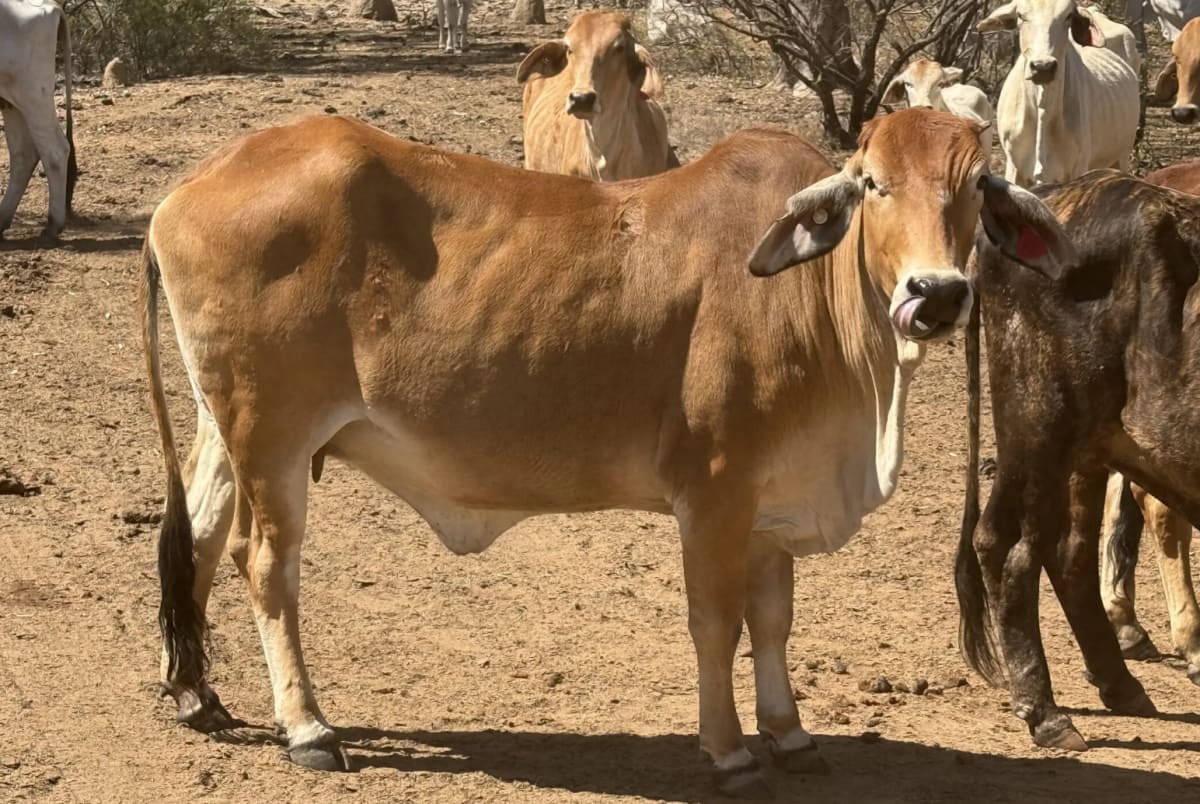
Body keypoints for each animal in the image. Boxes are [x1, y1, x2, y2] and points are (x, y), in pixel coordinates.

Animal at [0, 0, 77, 240]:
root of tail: (50, 7)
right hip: (12, 102)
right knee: (23, 156)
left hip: (33, 95)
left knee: (55, 150)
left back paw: (53, 225)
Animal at [140, 108, 1070, 796]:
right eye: (874, 184)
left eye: (974, 186)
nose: (936, 294)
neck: (813, 295)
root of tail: (193, 180)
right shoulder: (715, 491)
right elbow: (716, 621)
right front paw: (729, 750)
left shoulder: (773, 498)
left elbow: (773, 620)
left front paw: (791, 733)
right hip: (273, 434)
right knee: (266, 563)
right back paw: (306, 726)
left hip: (225, 427)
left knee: (201, 535)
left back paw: (197, 694)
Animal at [959, 169, 1200, 752]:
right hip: (1038, 427)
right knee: (1006, 546)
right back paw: (1044, 710)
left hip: (1089, 448)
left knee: (1070, 551)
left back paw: (1119, 681)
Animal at [979, 0, 1140, 188]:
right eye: (1020, 15)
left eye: (1068, 16)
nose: (1043, 67)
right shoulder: (1014, 170)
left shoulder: (1077, 169)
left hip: (1121, 156)